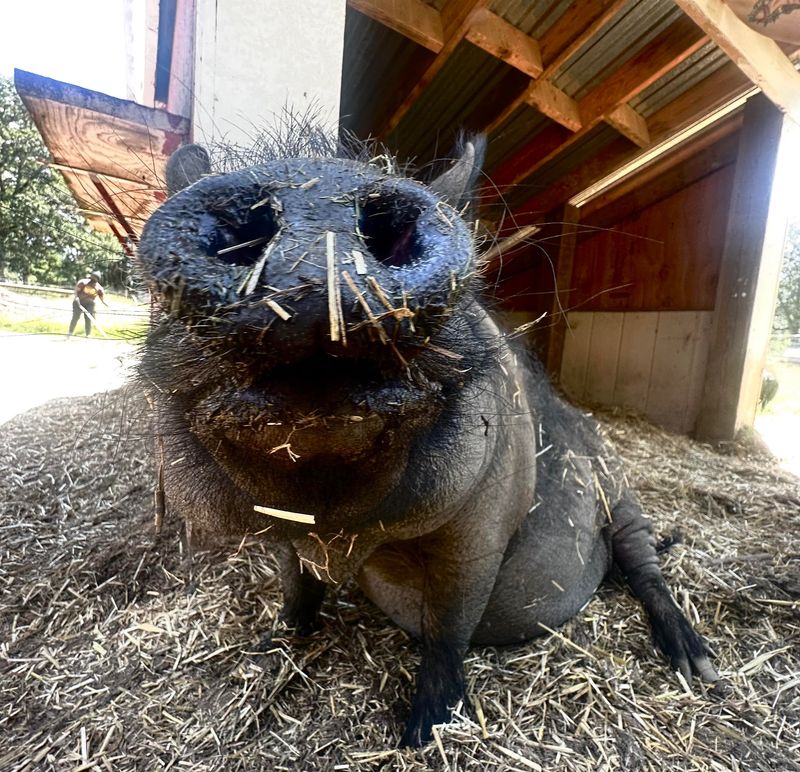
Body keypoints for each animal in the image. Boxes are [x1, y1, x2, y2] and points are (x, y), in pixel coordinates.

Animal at [137, 133, 718, 747]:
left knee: (645, 569)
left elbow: (449, 624)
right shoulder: (283, 531)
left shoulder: (484, 525)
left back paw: (700, 668)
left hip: (621, 492)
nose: (317, 200)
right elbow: (294, 588)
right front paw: (270, 648)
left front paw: (425, 733)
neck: (337, 525)